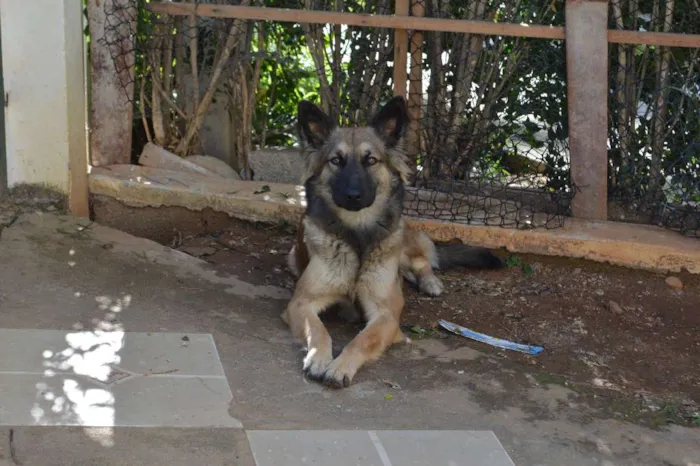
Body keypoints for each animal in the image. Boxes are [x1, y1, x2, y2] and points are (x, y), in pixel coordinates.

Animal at [278, 93, 504, 386]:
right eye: (336, 160)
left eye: (371, 160)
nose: (353, 195)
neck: (358, 237)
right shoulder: (301, 303)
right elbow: (317, 330)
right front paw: (318, 357)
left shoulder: (386, 314)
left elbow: (363, 339)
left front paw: (341, 366)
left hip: (402, 242)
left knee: (422, 261)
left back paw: (430, 282)